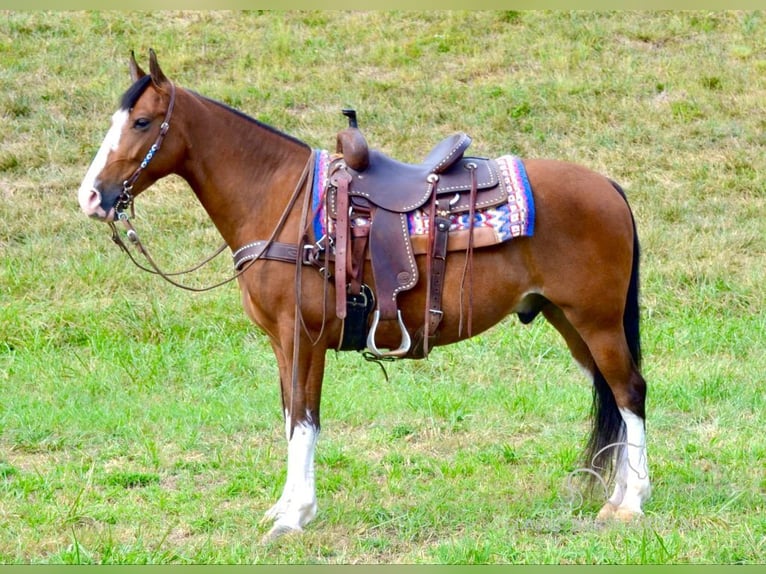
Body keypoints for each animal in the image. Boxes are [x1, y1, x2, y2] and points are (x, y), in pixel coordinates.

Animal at [78, 51, 652, 544]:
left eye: (142, 123)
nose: (90, 196)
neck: (279, 200)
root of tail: (607, 186)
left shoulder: (302, 337)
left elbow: (304, 419)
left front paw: (292, 517)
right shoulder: (282, 343)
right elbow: (289, 415)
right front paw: (288, 506)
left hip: (596, 321)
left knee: (629, 391)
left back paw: (632, 503)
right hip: (571, 322)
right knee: (613, 394)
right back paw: (619, 496)